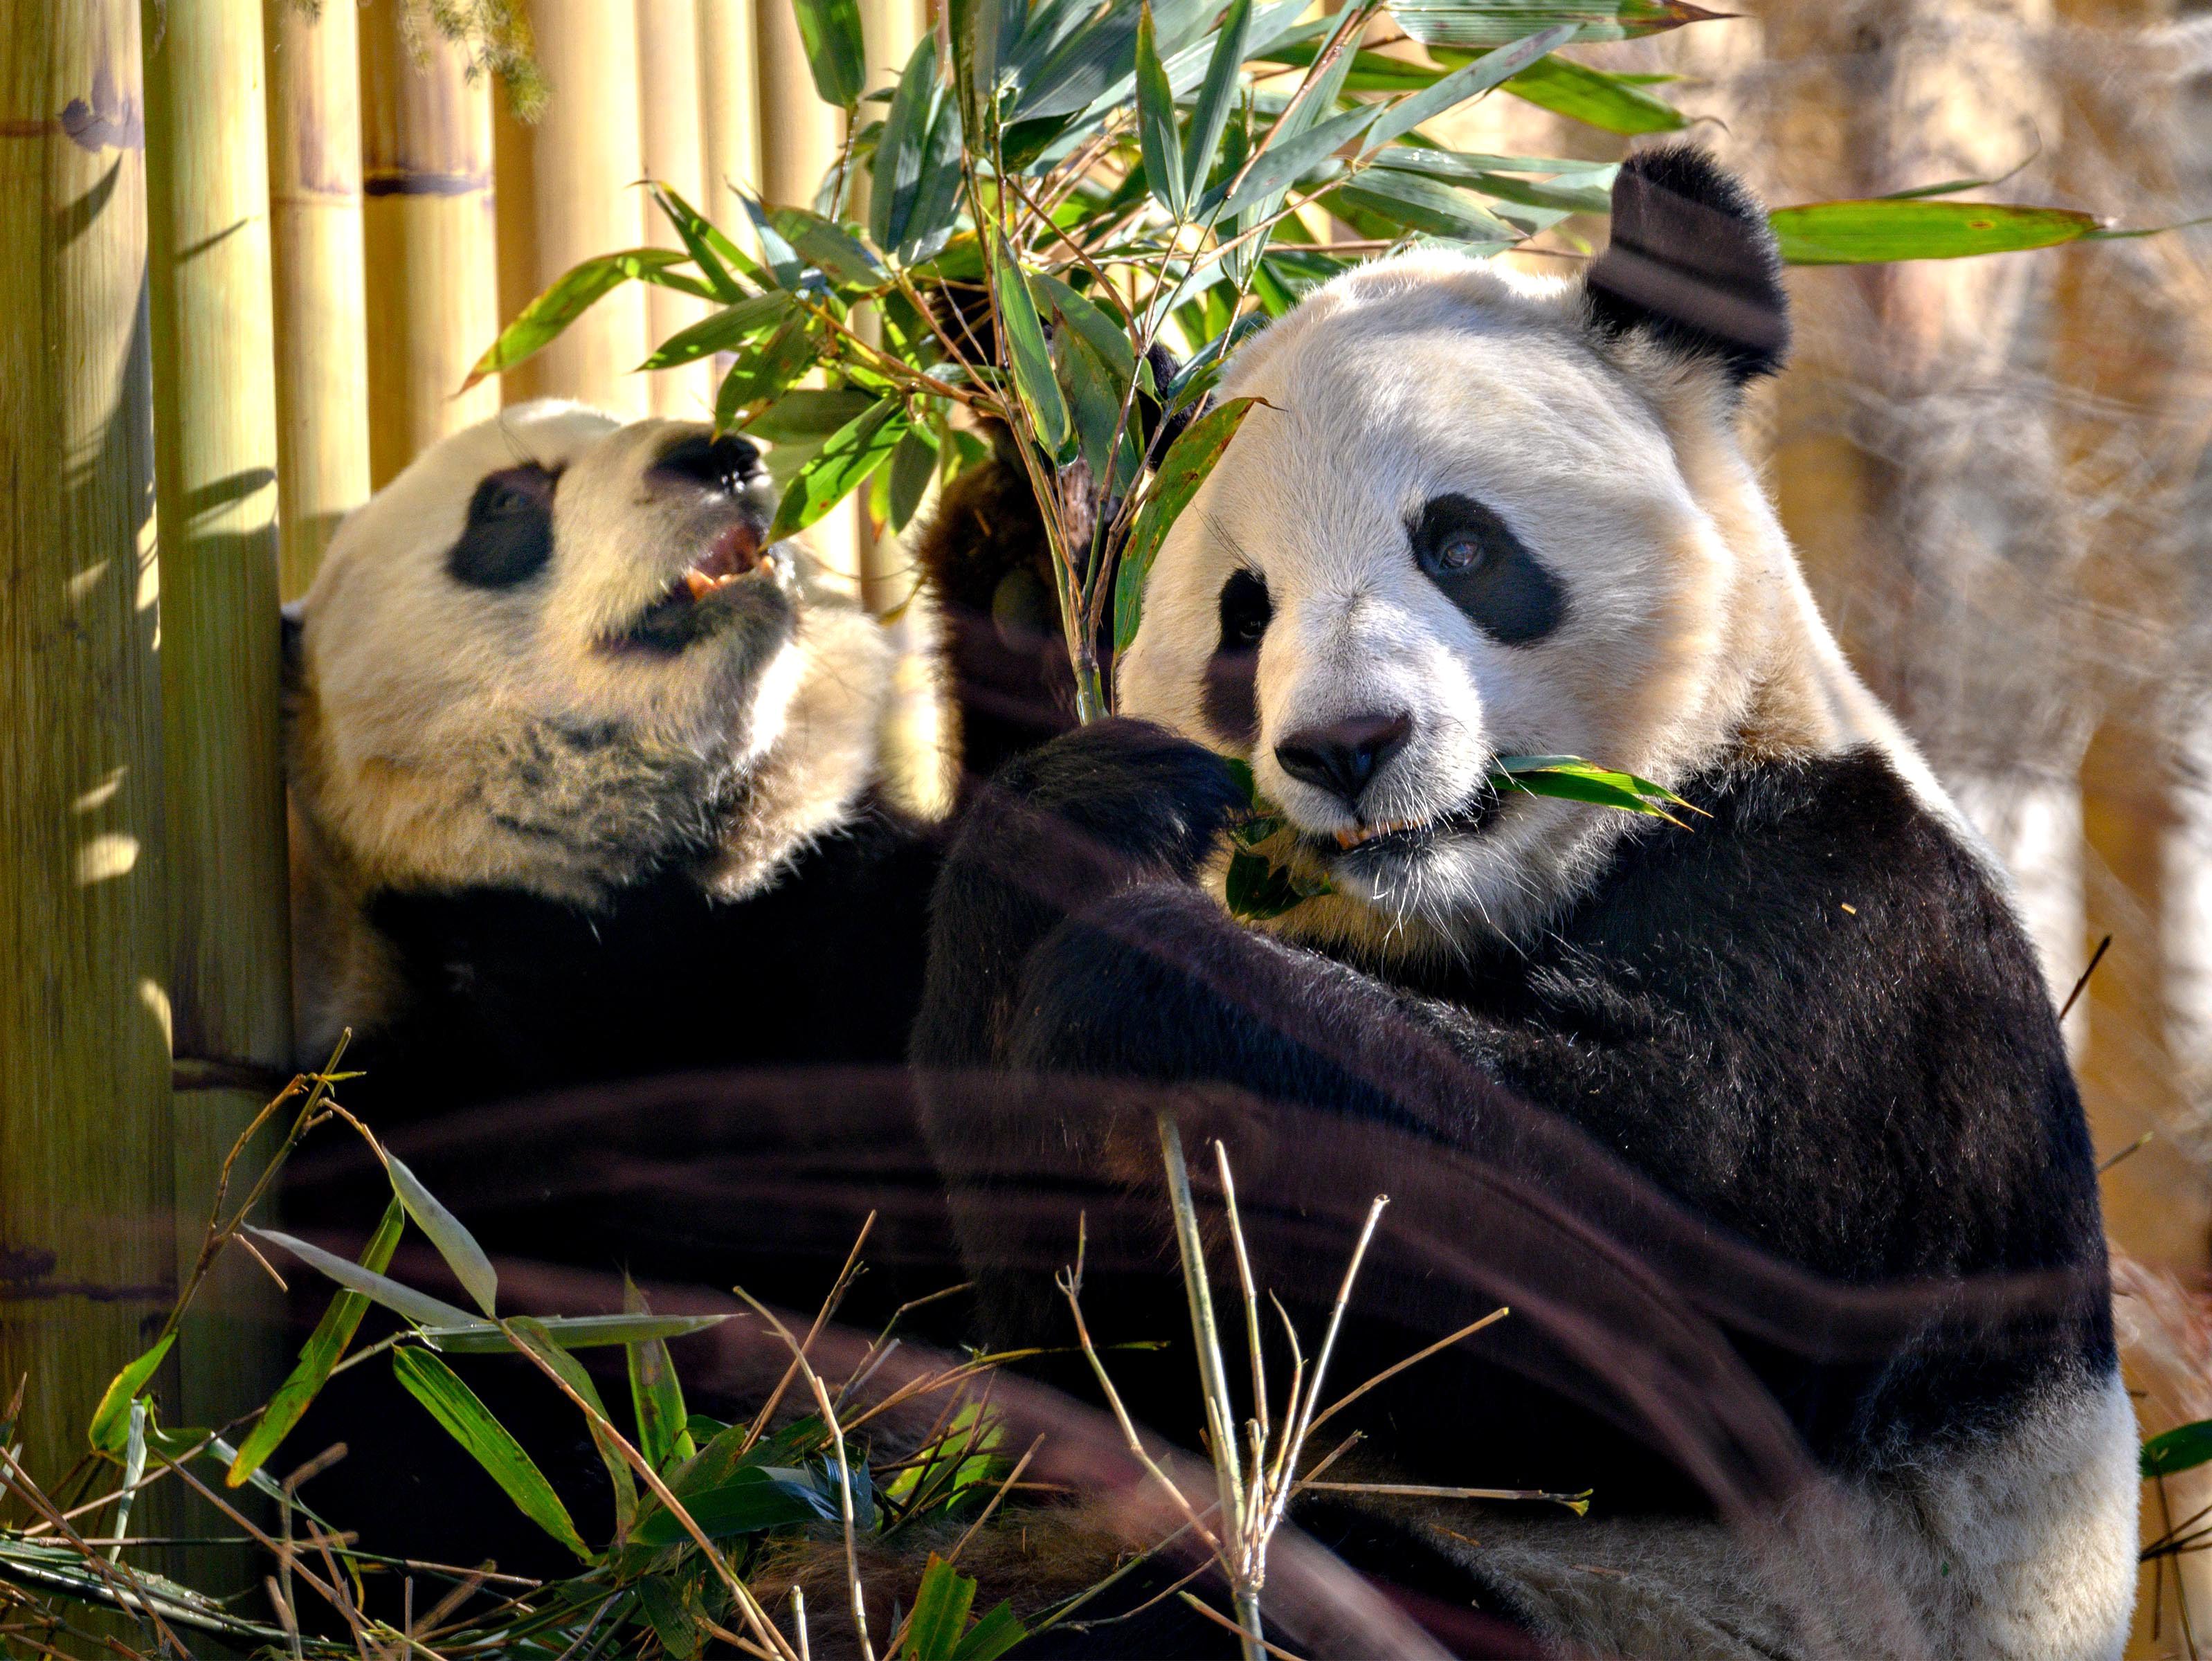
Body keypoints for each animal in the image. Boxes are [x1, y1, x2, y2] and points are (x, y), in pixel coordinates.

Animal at [916, 145, 2141, 1661]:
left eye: (1459, 546)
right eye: (1244, 614)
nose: (1346, 745)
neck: (1485, 905)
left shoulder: (1857, 939)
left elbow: (1670, 1299)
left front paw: (1136, 982)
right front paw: (1032, 569)